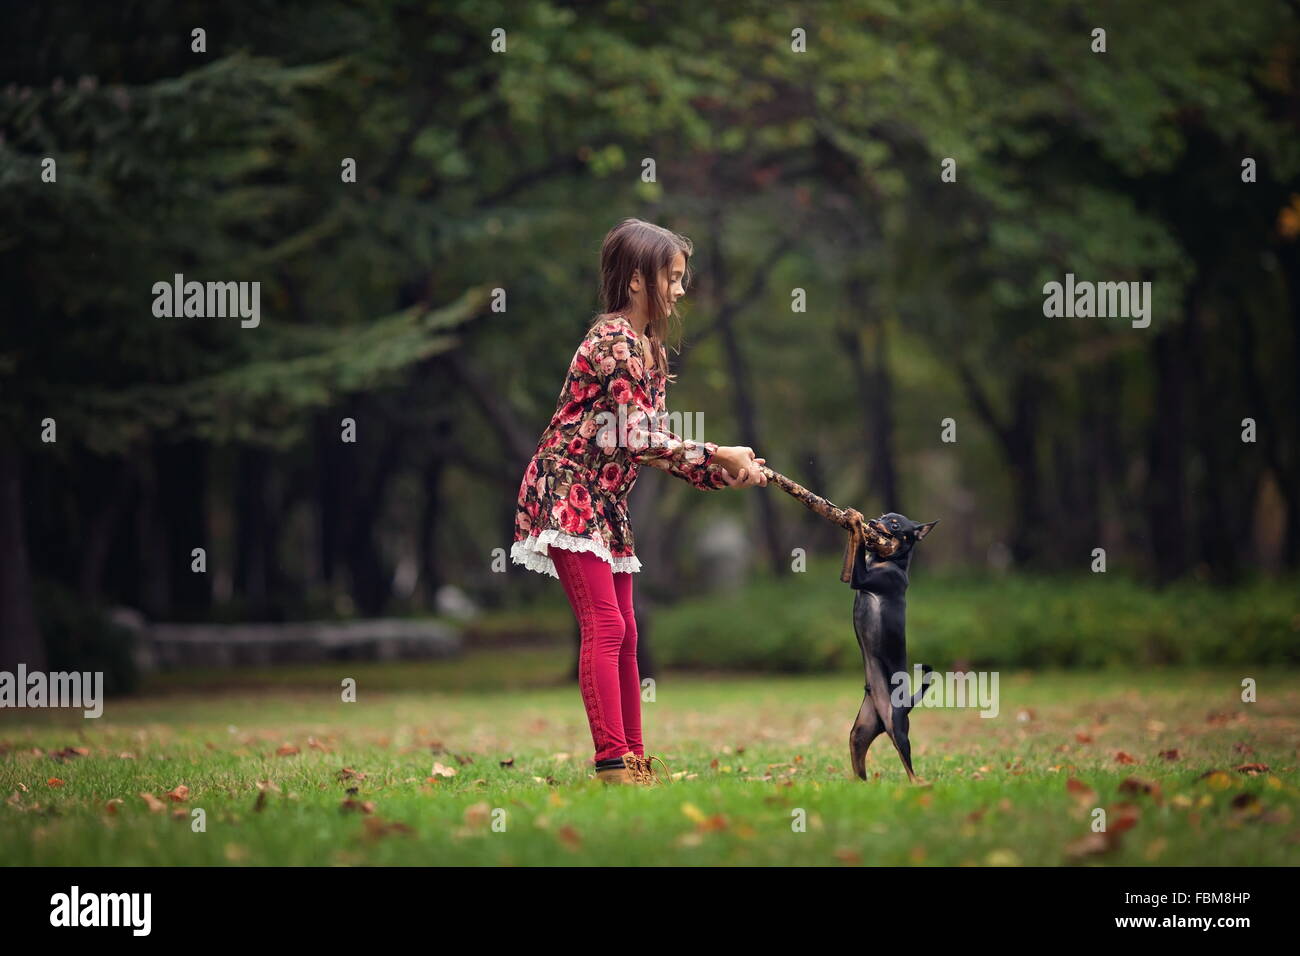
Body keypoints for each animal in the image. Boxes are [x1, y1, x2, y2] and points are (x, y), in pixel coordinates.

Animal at [847, 512, 941, 780]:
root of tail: (907, 704)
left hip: (897, 729)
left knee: (911, 771)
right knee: (860, 769)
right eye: (882, 517)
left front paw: (855, 521)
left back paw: (918, 784)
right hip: (860, 733)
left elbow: (858, 543)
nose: (872, 522)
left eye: (895, 525)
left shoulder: (860, 578)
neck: (888, 562)